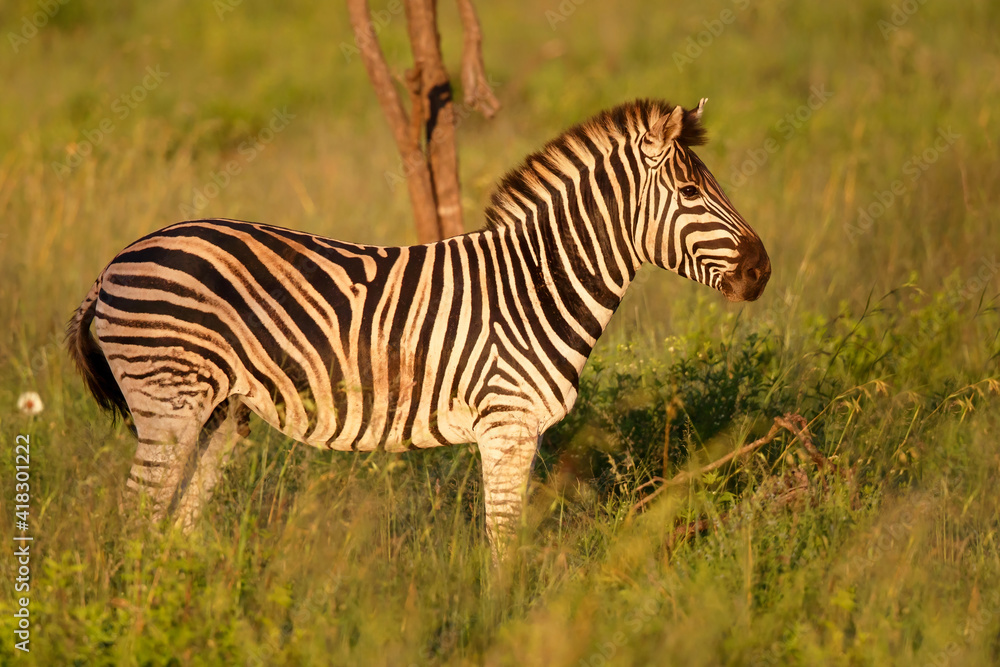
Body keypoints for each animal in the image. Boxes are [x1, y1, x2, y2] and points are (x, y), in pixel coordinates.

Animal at [67, 98, 770, 558]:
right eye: (689, 192)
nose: (762, 270)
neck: (535, 284)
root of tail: (113, 263)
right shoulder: (507, 427)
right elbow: (503, 548)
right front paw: (502, 624)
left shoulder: (519, 432)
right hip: (168, 401)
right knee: (134, 519)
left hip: (220, 414)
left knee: (173, 523)